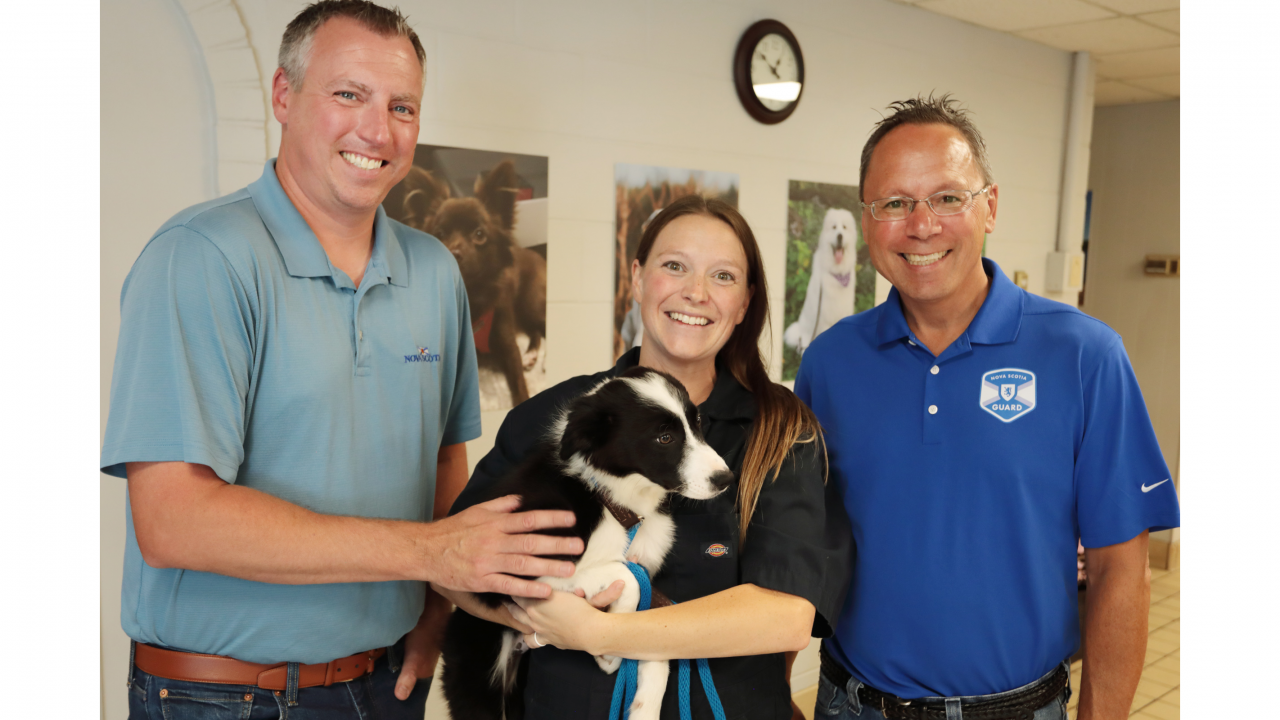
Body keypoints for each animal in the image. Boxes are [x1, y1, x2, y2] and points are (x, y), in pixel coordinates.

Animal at [445, 366, 737, 712]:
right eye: (664, 437)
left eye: (697, 423)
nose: (726, 479)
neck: (614, 502)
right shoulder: (525, 570)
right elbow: (626, 578)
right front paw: (610, 651)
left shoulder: (648, 578)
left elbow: (657, 644)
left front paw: (644, 706)